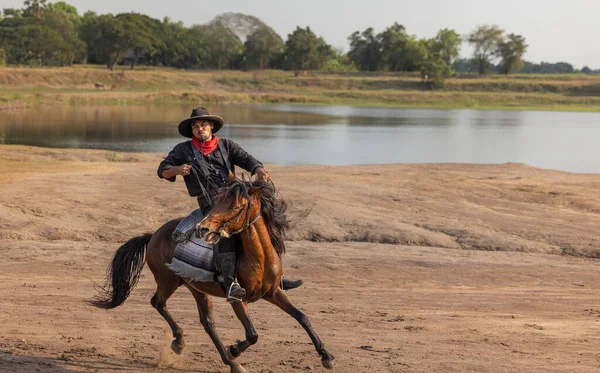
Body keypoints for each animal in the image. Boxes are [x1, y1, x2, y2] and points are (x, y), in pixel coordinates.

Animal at [94, 179, 338, 370]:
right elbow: (252, 334)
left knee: (207, 322)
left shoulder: (273, 292)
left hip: (196, 288)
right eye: (217, 200)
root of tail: (153, 235)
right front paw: (234, 349)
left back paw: (224, 360)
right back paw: (196, 347)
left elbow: (302, 317)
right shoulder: (237, 299)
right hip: (168, 281)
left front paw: (326, 356)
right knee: (158, 303)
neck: (258, 258)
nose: (203, 228)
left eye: (237, 206)